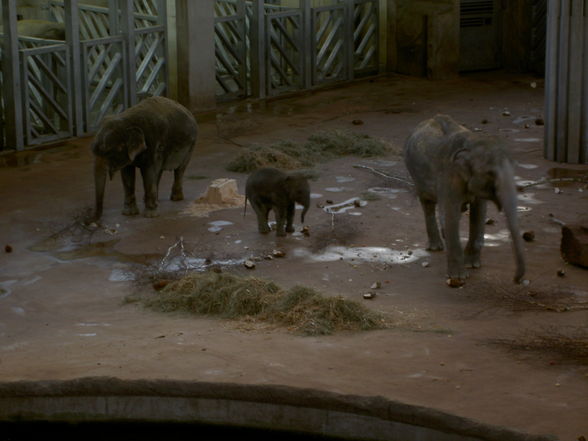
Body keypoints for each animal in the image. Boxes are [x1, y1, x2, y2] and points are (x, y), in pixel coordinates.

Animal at [404, 113, 524, 286]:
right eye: (490, 173)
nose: (516, 279)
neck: (473, 142)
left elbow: (479, 212)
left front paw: (473, 265)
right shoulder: (448, 175)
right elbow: (450, 216)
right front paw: (458, 278)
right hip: (415, 173)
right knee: (427, 203)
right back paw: (435, 248)